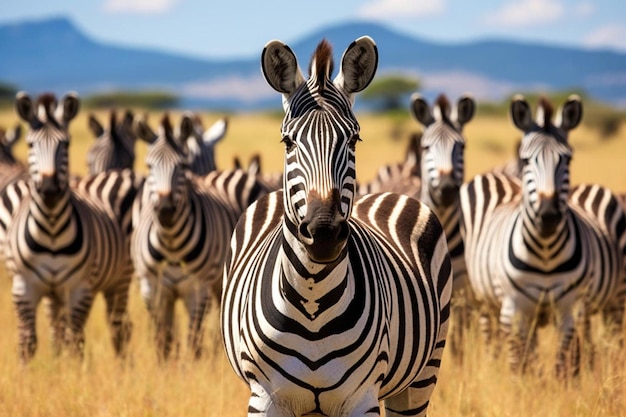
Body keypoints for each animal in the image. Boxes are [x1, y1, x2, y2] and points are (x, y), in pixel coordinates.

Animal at [130, 112, 260, 360]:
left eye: (181, 165)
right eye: (149, 165)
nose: (165, 210)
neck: (171, 243)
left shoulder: (199, 288)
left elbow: (193, 340)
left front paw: (192, 366)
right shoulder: (151, 288)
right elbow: (163, 339)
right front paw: (167, 365)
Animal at [219, 36, 448, 416]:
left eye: (354, 140)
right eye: (288, 141)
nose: (324, 233)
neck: (313, 298)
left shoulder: (362, 399)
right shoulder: (264, 398)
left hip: (423, 374)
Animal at [458, 95, 624, 376]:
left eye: (567, 160)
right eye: (527, 161)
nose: (548, 216)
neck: (545, 252)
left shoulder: (569, 310)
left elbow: (560, 364)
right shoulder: (513, 309)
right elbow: (517, 364)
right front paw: (521, 385)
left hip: (617, 297)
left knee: (615, 339)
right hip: (483, 298)